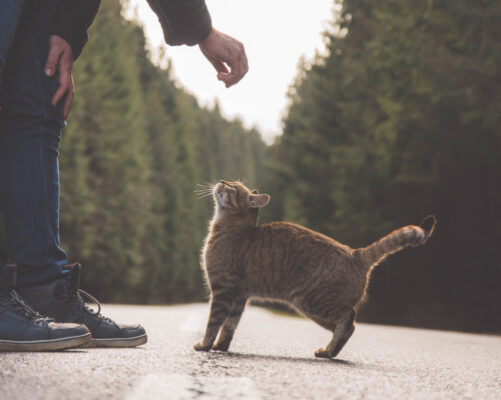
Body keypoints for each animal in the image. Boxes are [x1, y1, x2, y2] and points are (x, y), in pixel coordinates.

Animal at [193, 181, 436, 360]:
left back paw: (329, 351)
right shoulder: (240, 296)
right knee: (348, 325)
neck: (232, 228)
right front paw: (221, 346)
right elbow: (229, 326)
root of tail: (356, 253)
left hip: (311, 302)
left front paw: (205, 345)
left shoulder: (223, 290)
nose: (221, 180)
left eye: (233, 187)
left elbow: (213, 323)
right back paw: (328, 351)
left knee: (349, 319)